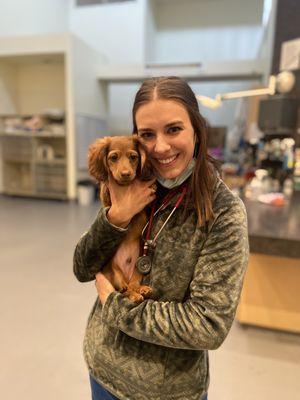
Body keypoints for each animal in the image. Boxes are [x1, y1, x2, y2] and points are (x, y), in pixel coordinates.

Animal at [88, 136, 154, 302]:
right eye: (113, 157)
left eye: (133, 157)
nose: (125, 174)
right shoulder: (109, 201)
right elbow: (106, 190)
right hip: (115, 275)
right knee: (124, 289)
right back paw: (135, 295)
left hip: (137, 271)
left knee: (133, 285)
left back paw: (143, 290)